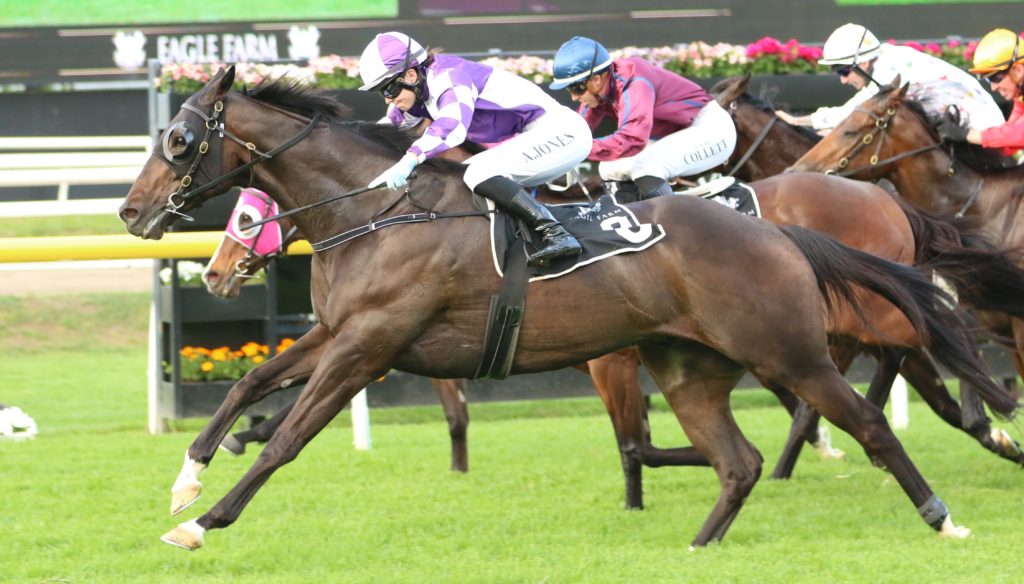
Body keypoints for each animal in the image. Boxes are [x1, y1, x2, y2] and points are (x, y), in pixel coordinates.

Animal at [119, 67, 1014, 551]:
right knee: (744, 459)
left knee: (871, 416)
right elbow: (248, 384)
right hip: (693, 367)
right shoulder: (343, 334)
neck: (376, 211)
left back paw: (947, 511)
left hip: (790, 348)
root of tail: (781, 234)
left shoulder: (368, 346)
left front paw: (204, 519)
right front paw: (187, 477)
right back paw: (698, 546)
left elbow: (289, 439)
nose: (132, 212)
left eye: (180, 141)